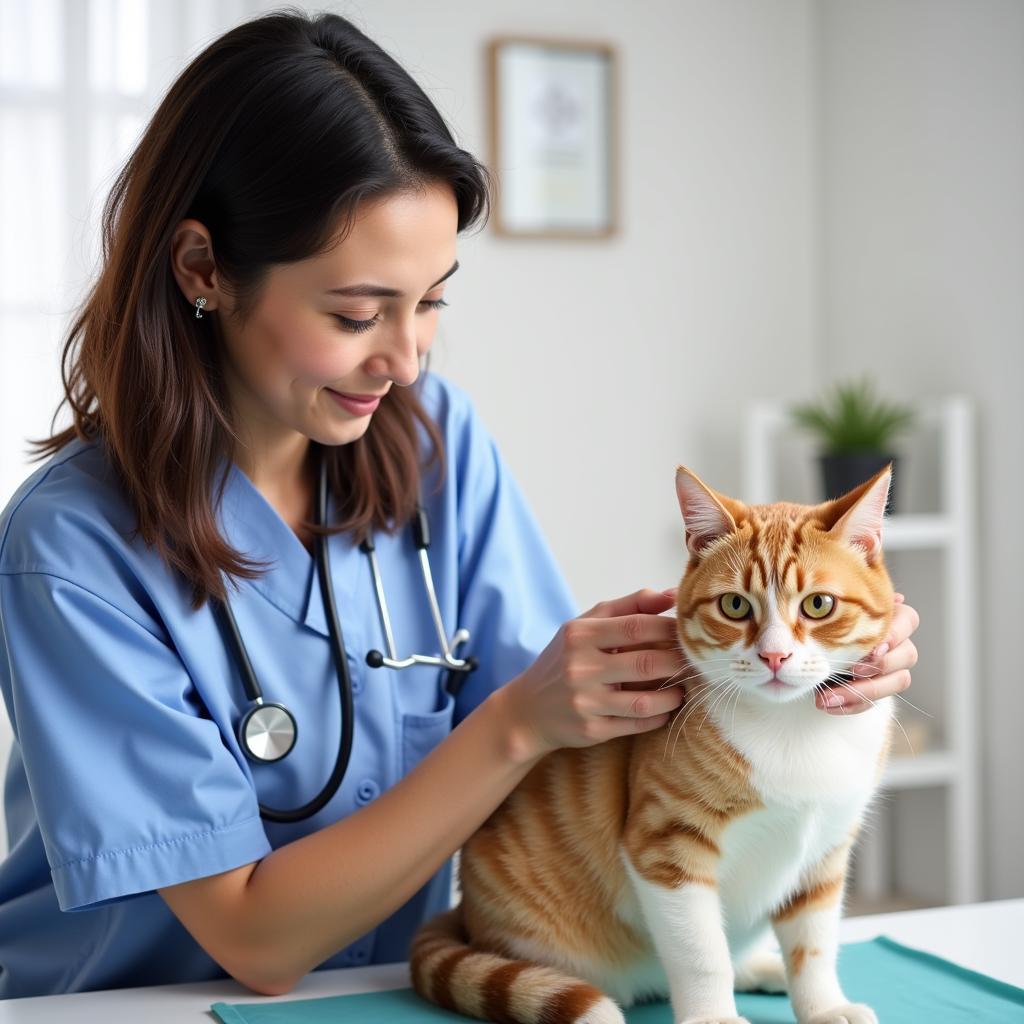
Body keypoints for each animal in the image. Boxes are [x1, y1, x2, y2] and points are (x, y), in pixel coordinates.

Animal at [409, 466, 897, 1024]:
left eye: (819, 604)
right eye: (735, 605)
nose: (774, 656)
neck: (791, 725)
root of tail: (465, 914)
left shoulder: (825, 853)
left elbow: (813, 946)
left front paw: (823, 1006)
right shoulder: (666, 845)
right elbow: (701, 952)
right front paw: (713, 1018)